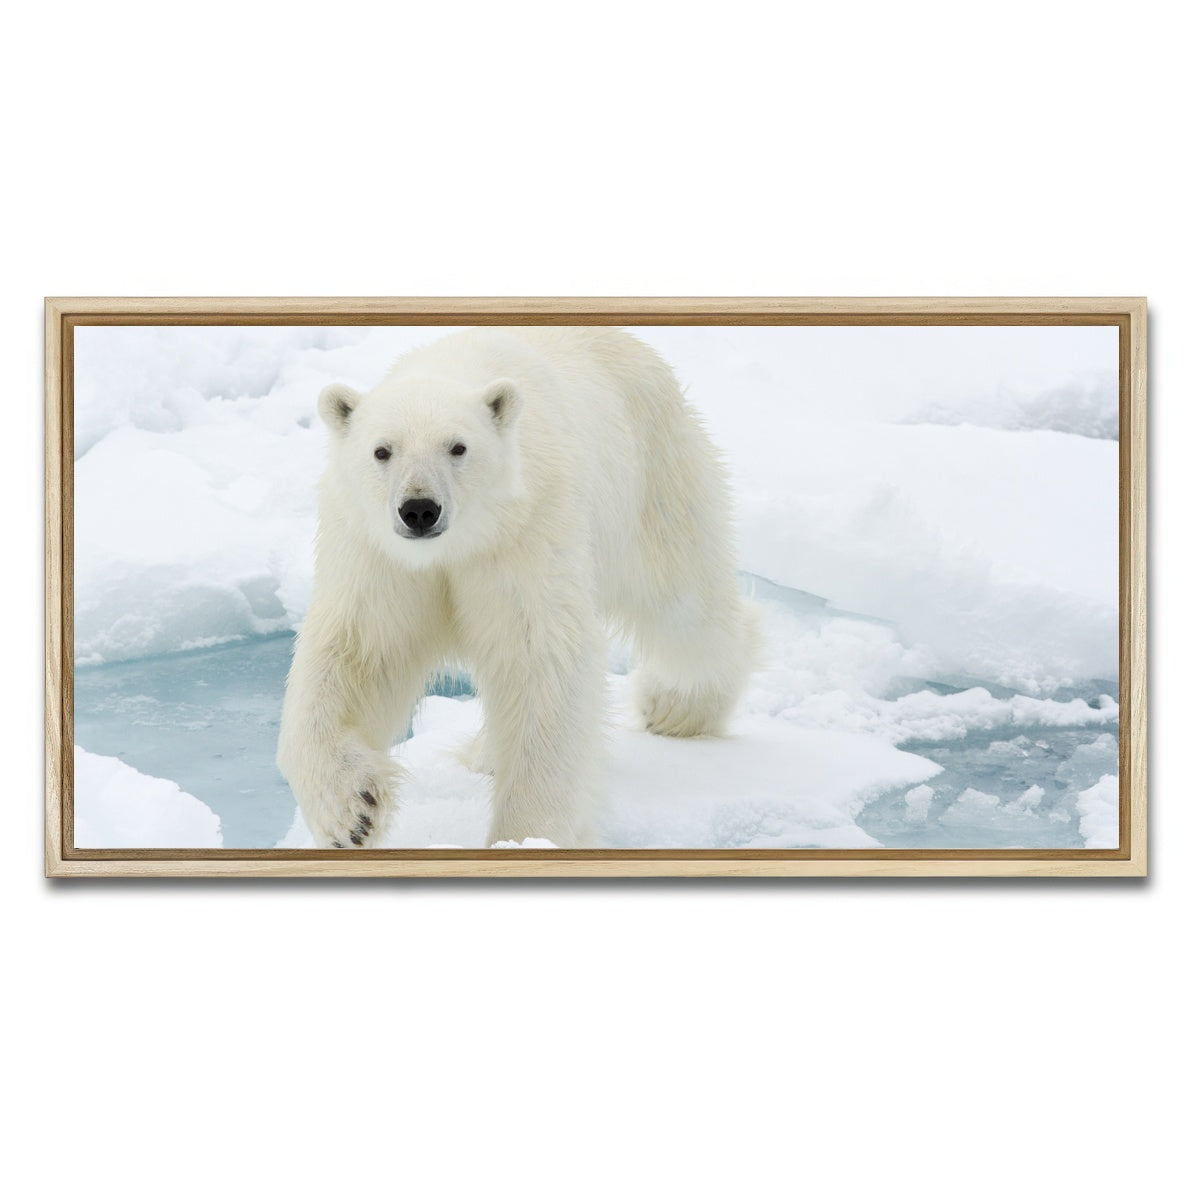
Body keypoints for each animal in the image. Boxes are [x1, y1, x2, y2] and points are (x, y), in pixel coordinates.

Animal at [277, 326, 757, 848]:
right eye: (382, 450)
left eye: (458, 447)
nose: (419, 509)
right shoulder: (377, 556)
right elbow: (356, 653)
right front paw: (352, 813)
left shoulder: (526, 530)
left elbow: (539, 659)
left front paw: (526, 836)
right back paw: (487, 752)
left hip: (653, 477)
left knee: (684, 604)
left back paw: (674, 706)